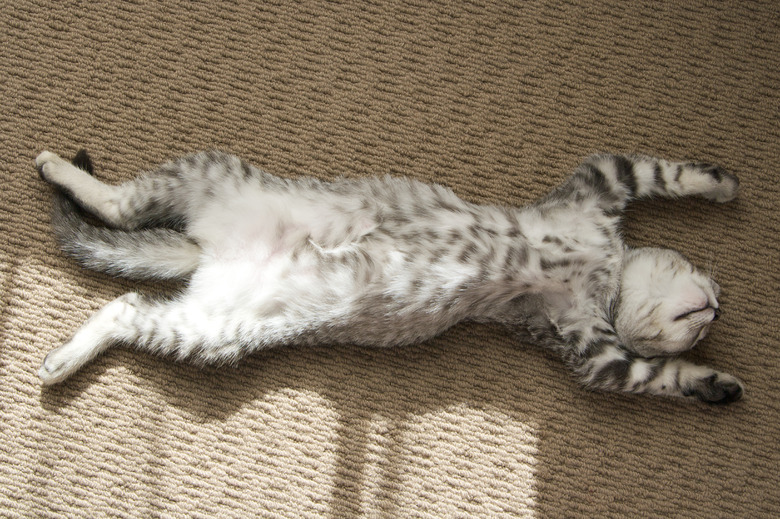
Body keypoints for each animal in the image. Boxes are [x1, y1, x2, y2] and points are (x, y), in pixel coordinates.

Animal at [35, 148, 744, 404]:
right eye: (699, 321)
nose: (716, 305)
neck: (605, 267)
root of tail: (203, 250)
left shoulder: (594, 350)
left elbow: (652, 374)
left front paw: (713, 382)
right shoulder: (601, 183)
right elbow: (667, 171)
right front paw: (722, 182)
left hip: (211, 327)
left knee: (127, 301)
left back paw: (62, 359)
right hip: (207, 175)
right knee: (114, 206)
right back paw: (55, 167)